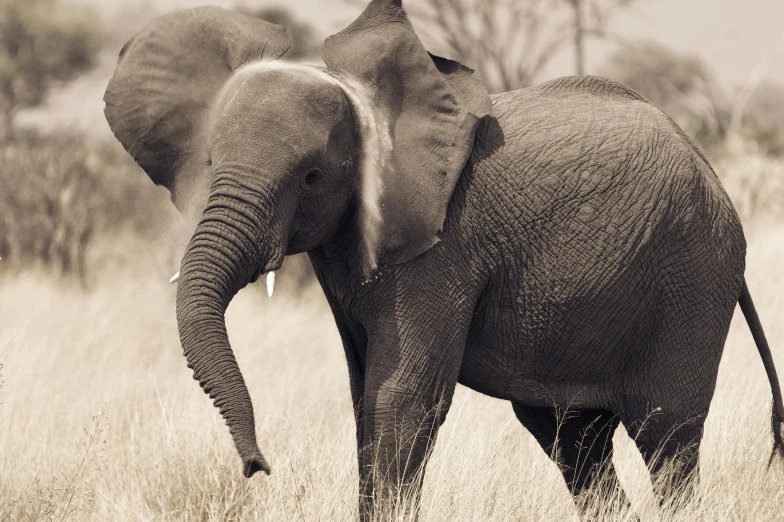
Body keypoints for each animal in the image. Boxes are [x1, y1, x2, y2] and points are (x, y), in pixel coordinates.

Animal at [104, 0, 784, 516]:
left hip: (693, 276)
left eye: (313, 177)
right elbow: (363, 395)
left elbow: (400, 396)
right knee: (574, 442)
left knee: (667, 439)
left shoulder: (443, 248)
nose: (257, 466)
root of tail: (711, 171)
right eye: (209, 161)